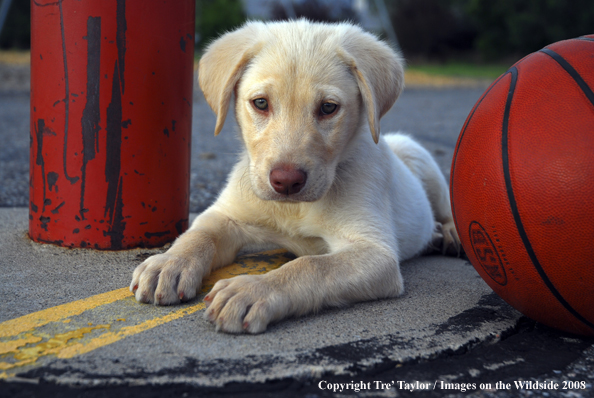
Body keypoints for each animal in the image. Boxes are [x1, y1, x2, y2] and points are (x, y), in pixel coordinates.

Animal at [132, 20, 460, 334]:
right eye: (260, 103)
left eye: (328, 108)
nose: (286, 181)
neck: (295, 209)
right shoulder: (226, 215)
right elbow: (198, 234)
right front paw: (170, 263)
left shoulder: (376, 252)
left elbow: (311, 266)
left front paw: (254, 290)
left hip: (418, 156)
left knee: (445, 208)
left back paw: (448, 233)